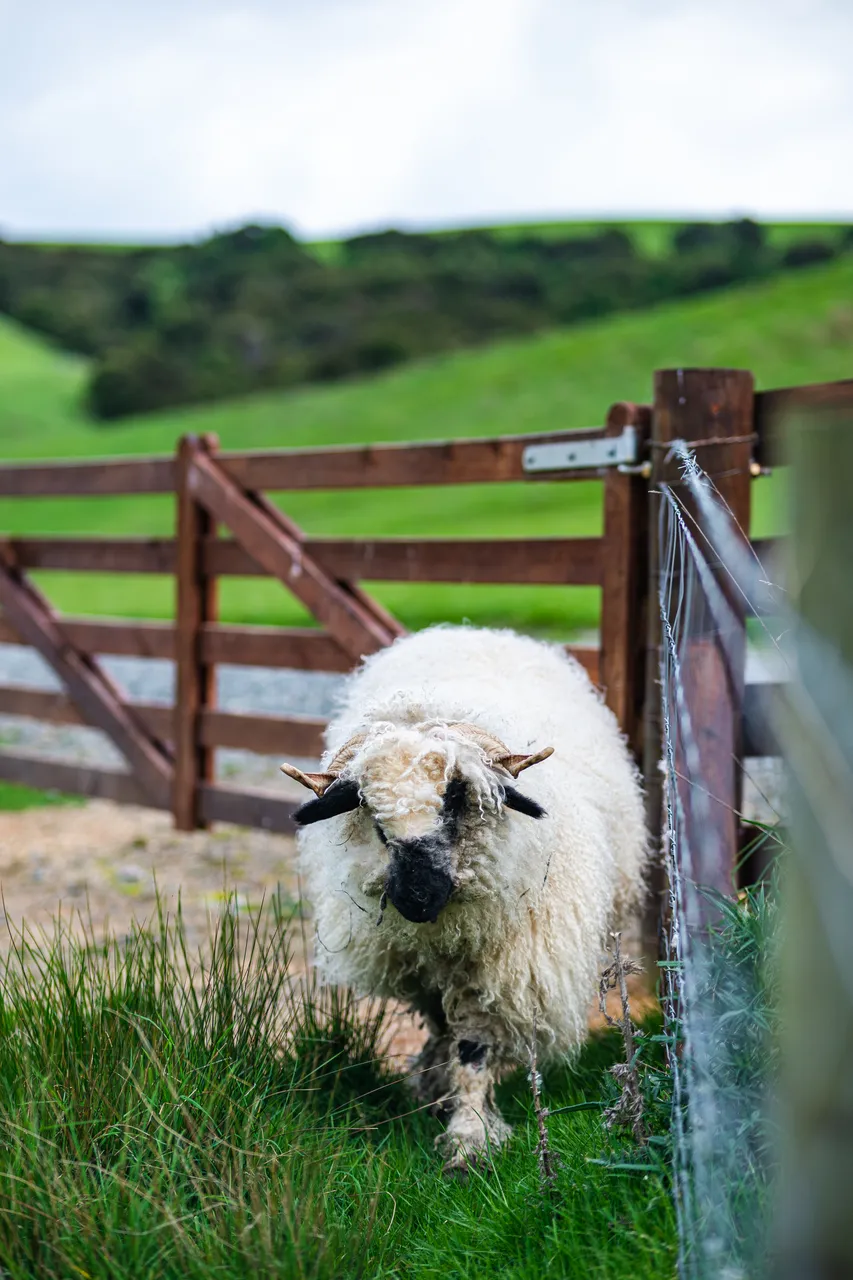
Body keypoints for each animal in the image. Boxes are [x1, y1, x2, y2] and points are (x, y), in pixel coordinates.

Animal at [281, 624, 647, 1171]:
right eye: (371, 811)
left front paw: (469, 1136)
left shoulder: (505, 967)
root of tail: (475, 629)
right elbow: (440, 1022)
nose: (416, 897)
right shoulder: (418, 963)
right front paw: (440, 1094)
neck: (447, 927)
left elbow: (473, 1046)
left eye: (455, 799)